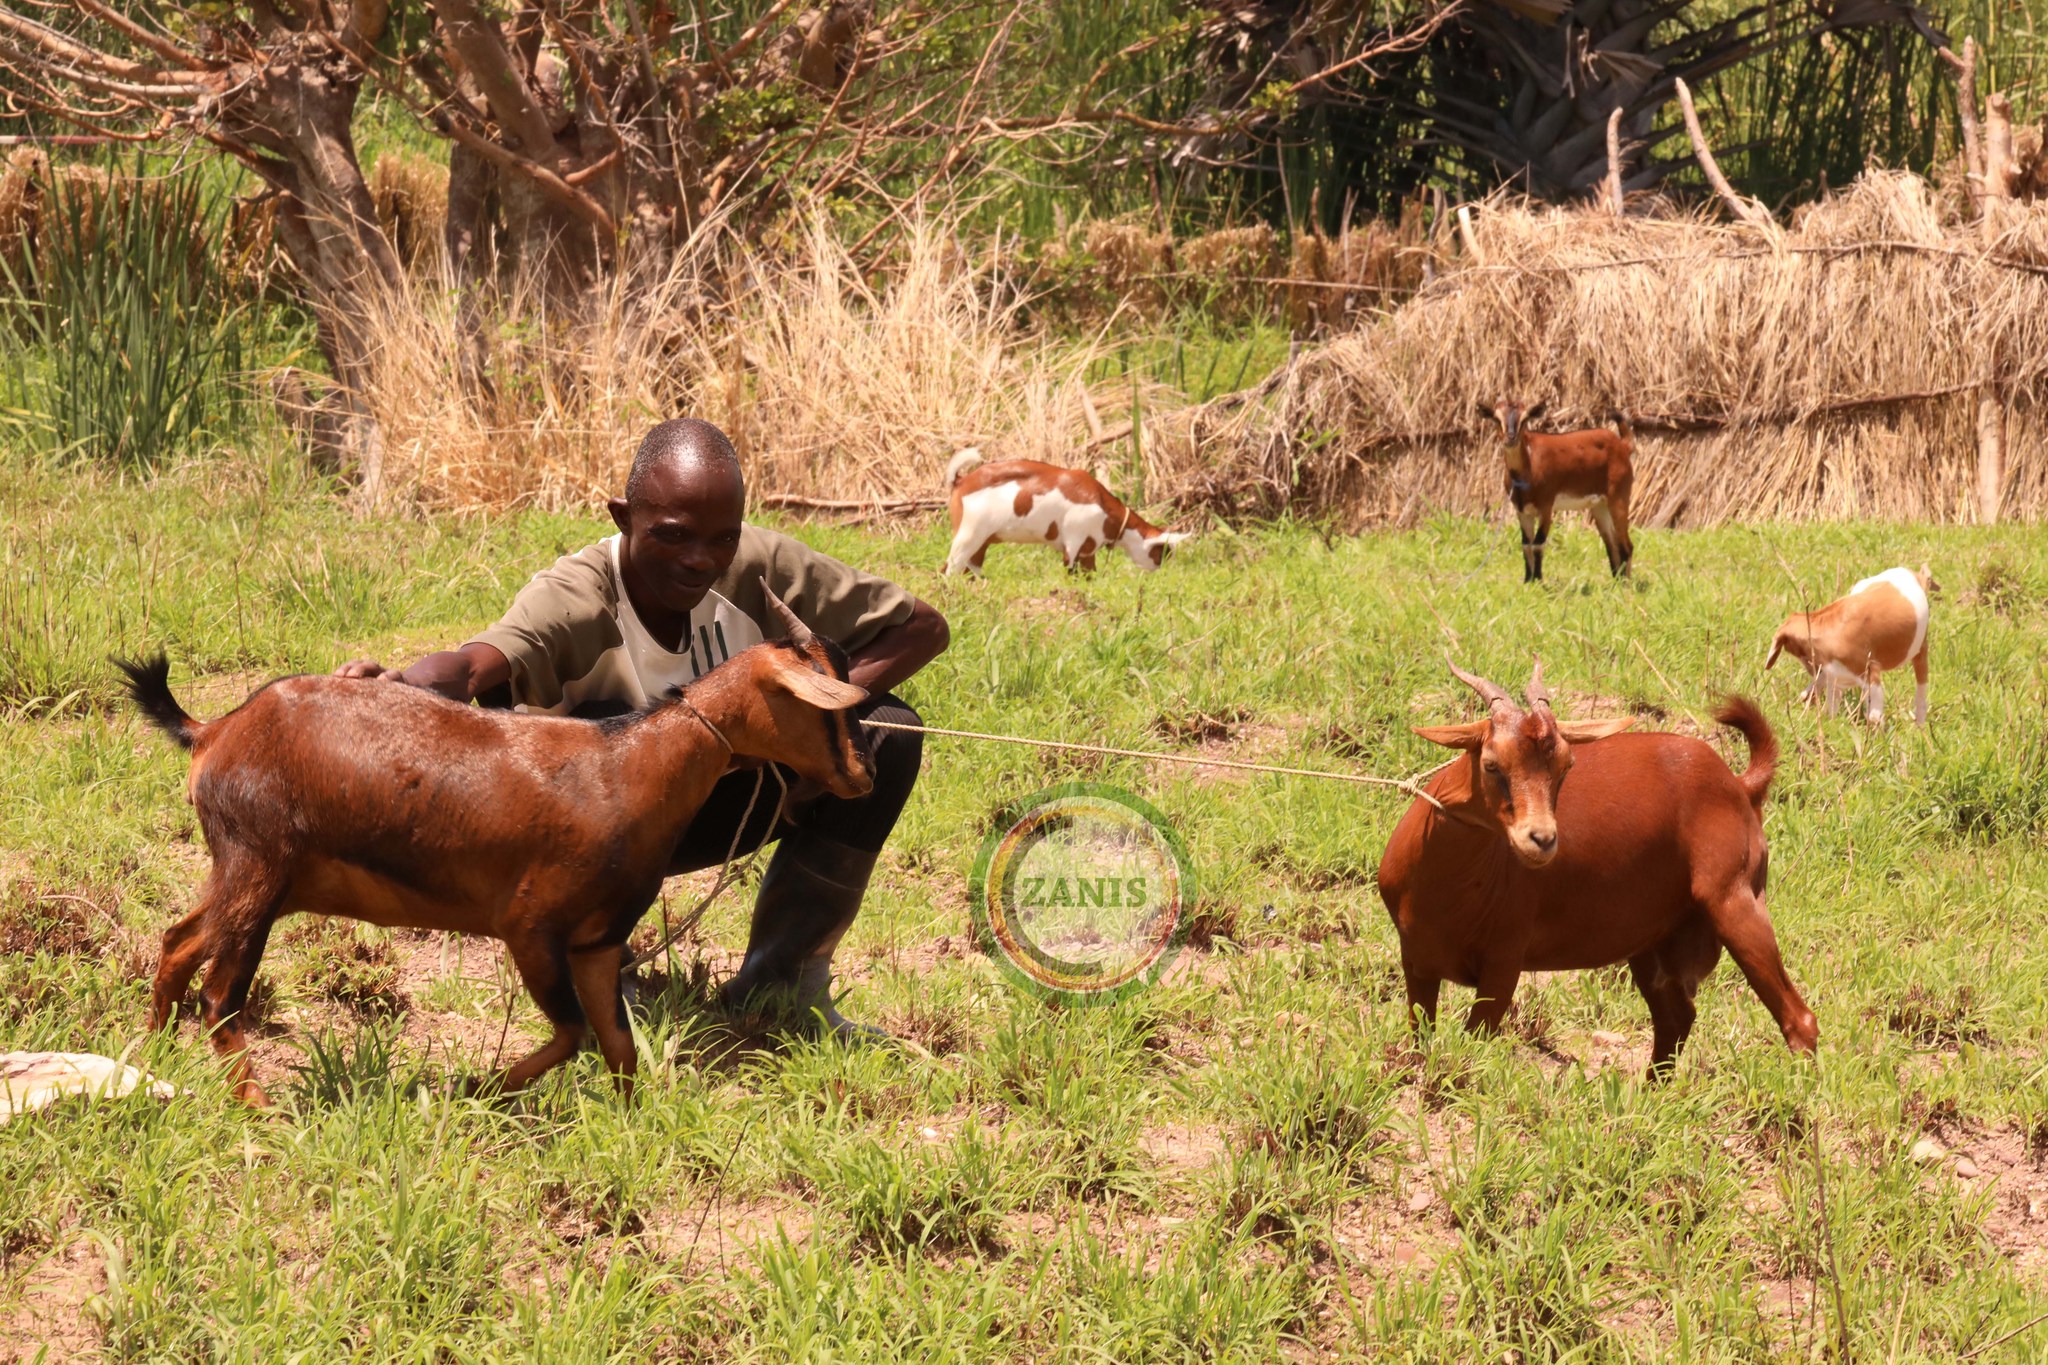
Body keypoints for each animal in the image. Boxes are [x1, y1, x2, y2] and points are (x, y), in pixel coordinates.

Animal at [117, 585, 874, 1105]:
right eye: (822, 701)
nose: (862, 773)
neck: (623, 764)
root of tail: (216, 729)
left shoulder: (597, 943)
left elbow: (617, 1043)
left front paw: (632, 1125)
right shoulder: (530, 929)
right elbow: (572, 1034)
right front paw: (473, 1090)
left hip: (253, 879)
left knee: (177, 942)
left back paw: (151, 1057)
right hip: (258, 870)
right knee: (220, 995)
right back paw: (256, 1109)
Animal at [941, 448, 1188, 575]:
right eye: (1162, 552)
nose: (1158, 571)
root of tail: (961, 480)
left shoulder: (1088, 550)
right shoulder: (1074, 543)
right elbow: (1071, 573)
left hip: (981, 541)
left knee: (970, 568)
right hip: (969, 534)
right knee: (950, 567)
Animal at [1377, 661, 1818, 1075]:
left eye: (1566, 765)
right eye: (1490, 764)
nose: (1541, 840)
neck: (1445, 887)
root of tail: (1738, 785)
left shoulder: (1503, 964)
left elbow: (1470, 1047)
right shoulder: (1416, 961)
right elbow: (1420, 1041)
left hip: (1737, 904)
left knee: (1799, 1019)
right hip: (1653, 944)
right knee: (1676, 1019)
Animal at [1477, 400, 1636, 582]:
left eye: (1524, 419)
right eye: (1497, 419)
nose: (1511, 438)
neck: (1527, 466)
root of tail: (1623, 446)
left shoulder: (1546, 506)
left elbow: (1538, 543)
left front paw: (1538, 580)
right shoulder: (1522, 511)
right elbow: (1526, 544)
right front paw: (1527, 580)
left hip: (1619, 498)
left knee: (1627, 545)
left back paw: (1626, 584)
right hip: (1599, 506)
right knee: (1611, 542)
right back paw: (1616, 581)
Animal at [1765, 565, 1935, 725]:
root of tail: (1911, 573)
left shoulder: (1869, 674)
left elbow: (1874, 716)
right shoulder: (1833, 677)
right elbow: (1830, 707)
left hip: (1921, 650)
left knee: (1921, 694)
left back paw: (1920, 726)